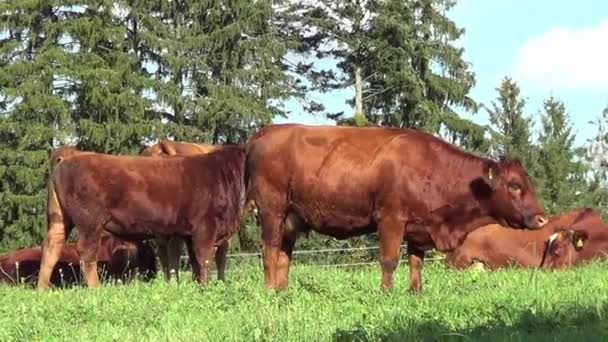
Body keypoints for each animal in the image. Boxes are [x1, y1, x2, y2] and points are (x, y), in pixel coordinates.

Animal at [37, 146, 247, 290]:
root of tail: (70, 157)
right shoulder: (205, 228)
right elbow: (204, 258)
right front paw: (204, 287)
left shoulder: (189, 233)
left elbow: (195, 261)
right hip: (90, 222)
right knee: (86, 252)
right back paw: (95, 289)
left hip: (59, 218)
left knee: (51, 246)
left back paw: (42, 290)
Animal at [245, 124, 548, 292]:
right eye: (514, 185)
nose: (542, 219)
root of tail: (268, 130)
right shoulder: (391, 219)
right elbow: (390, 260)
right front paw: (386, 293)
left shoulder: (420, 227)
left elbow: (416, 262)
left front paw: (415, 292)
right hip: (272, 209)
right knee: (269, 250)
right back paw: (269, 290)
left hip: (291, 217)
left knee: (284, 254)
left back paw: (283, 291)